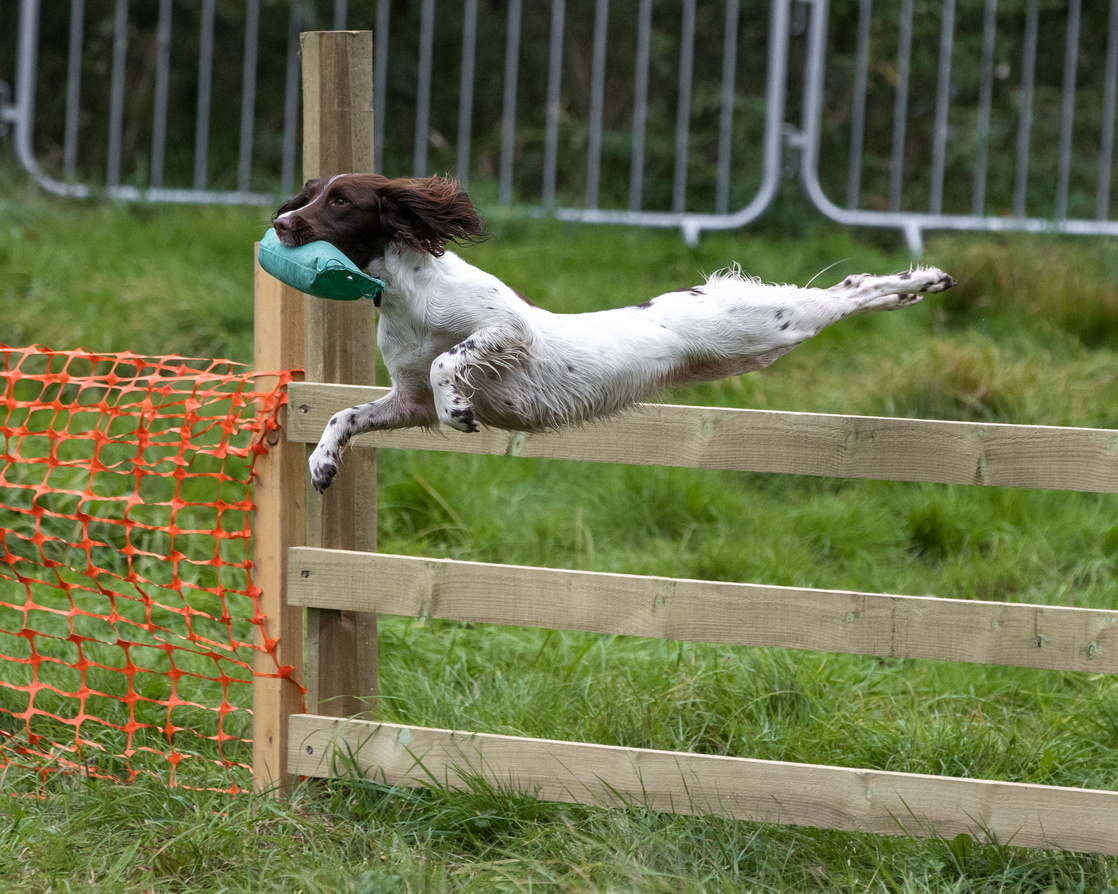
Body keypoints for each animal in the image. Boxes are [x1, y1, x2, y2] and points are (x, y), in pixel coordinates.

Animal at [270, 173, 952, 496]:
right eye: (310, 193)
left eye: (340, 201)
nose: (280, 223)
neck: (406, 297)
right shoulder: (406, 401)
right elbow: (345, 415)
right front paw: (322, 465)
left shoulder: (508, 329)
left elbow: (449, 363)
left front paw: (461, 409)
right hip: (760, 343)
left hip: (766, 326)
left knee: (846, 290)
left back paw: (925, 278)